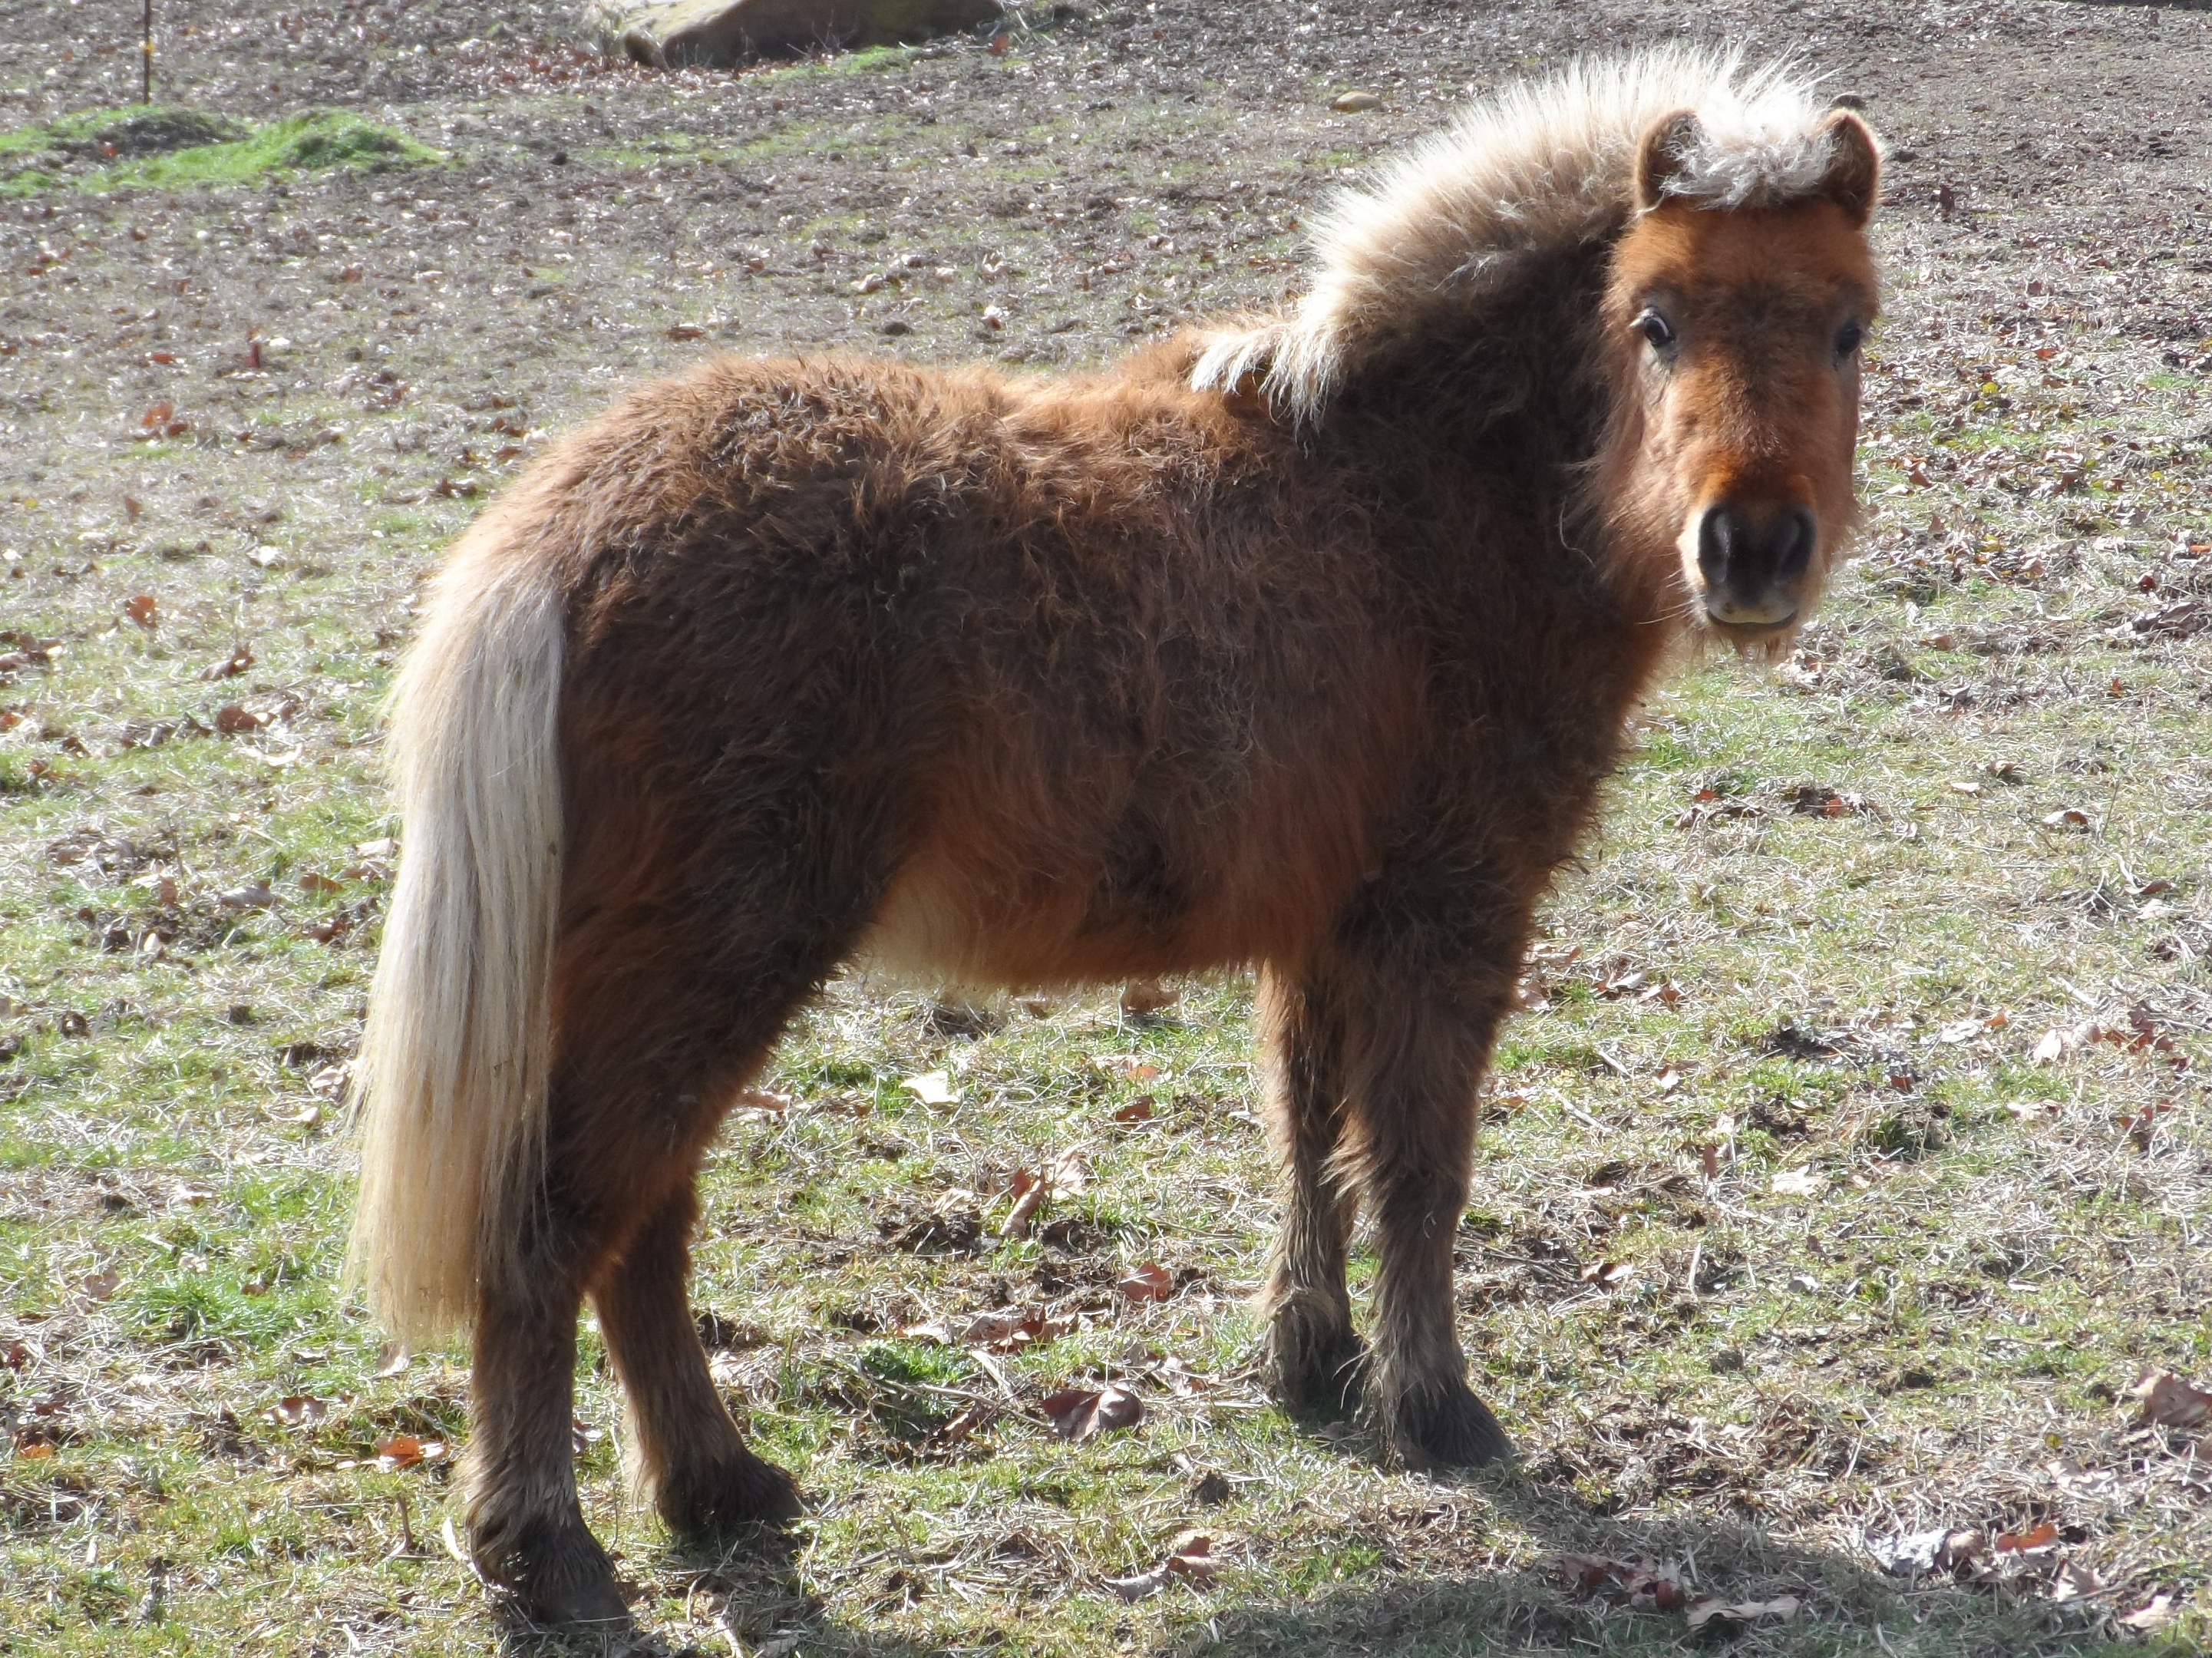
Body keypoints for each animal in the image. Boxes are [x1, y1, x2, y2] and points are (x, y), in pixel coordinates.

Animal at [346, 48, 1881, 1626]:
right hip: (705, 968)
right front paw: (1436, 1408)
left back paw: (719, 1489)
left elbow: (1308, 1136)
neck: (1417, 488)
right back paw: (545, 1543)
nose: (1752, 550)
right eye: (1653, 322)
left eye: (1846, 327)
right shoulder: (1450, 913)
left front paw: (1312, 1367)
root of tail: (559, 532)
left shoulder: (1325, 928)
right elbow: (1416, 1166)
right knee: (556, 1225)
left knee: (640, 1227)